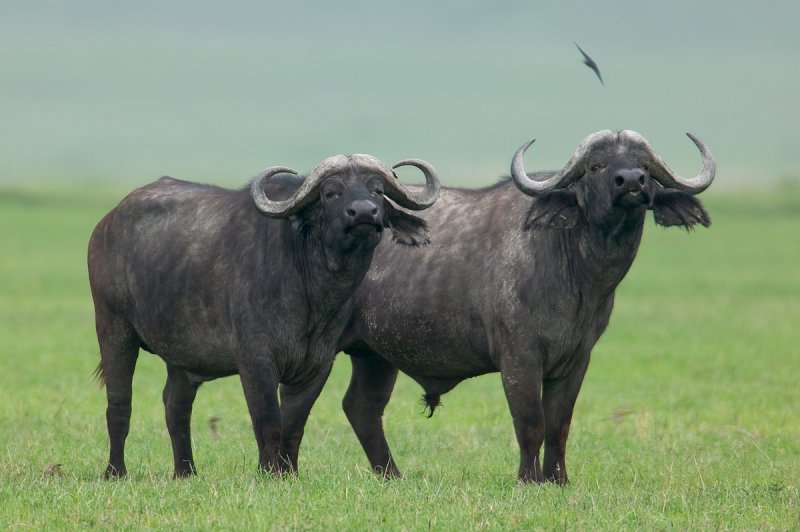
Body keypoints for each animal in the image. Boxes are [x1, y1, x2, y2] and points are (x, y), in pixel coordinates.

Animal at [88, 153, 439, 478]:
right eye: (331, 193)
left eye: (377, 190)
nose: (364, 212)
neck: (311, 292)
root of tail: (107, 223)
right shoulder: (256, 360)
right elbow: (268, 420)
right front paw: (268, 473)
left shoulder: (317, 365)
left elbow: (293, 425)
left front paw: (289, 473)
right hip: (114, 329)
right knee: (119, 404)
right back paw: (115, 472)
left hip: (182, 357)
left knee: (176, 406)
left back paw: (185, 472)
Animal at [338, 130, 715, 483]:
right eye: (596, 166)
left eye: (645, 166)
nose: (632, 182)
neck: (576, 271)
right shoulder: (519, 358)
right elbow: (531, 422)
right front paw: (529, 479)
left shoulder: (576, 359)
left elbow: (559, 425)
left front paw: (558, 479)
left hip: (375, 356)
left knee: (362, 407)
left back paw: (391, 474)